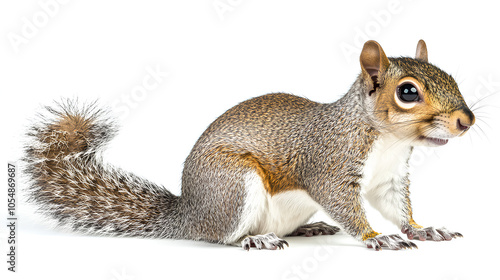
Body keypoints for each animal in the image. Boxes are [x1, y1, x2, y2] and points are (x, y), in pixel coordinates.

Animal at [23, 38, 474, 249]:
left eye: (450, 76)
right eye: (408, 92)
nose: (466, 121)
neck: (387, 141)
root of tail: (189, 215)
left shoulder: (388, 179)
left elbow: (398, 208)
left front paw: (423, 228)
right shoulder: (329, 165)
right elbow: (346, 205)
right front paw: (374, 237)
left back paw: (309, 227)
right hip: (233, 184)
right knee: (224, 237)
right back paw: (254, 239)